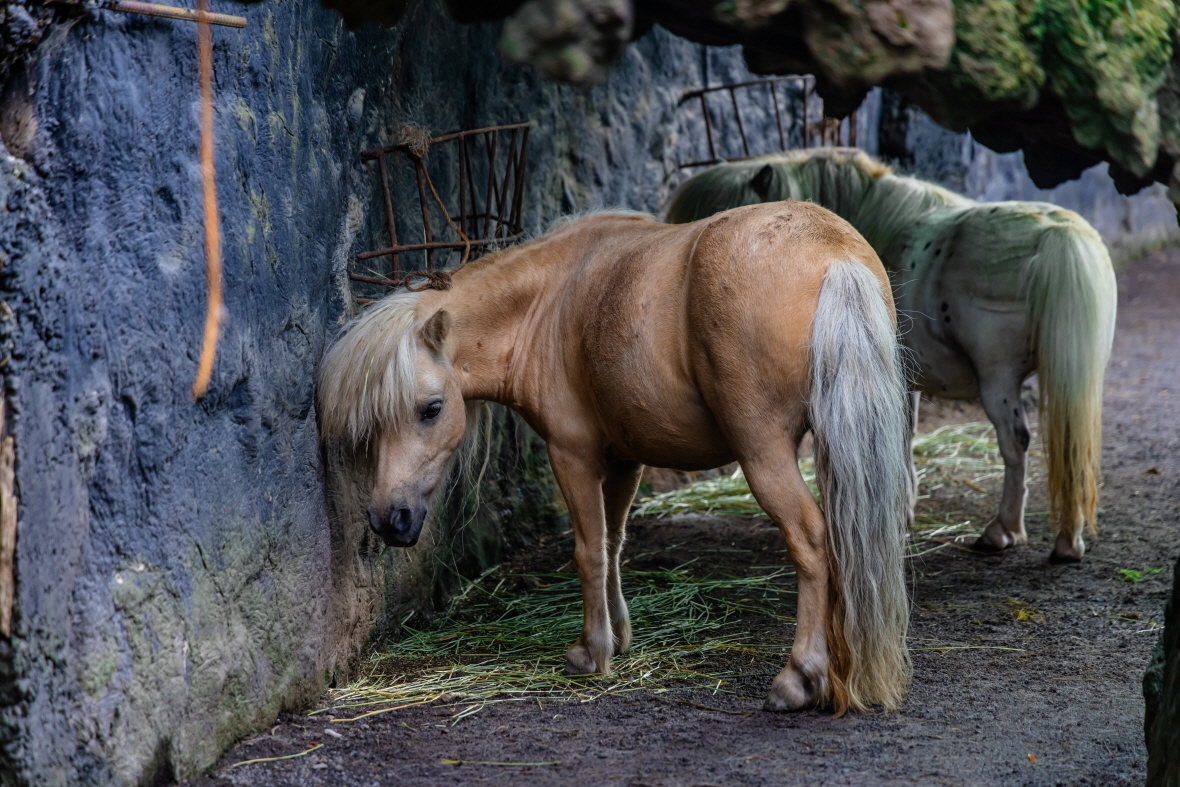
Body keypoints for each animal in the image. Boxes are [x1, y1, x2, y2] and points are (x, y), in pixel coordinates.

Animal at [320, 206, 910, 712]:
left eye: (431, 409)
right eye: (372, 423)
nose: (388, 519)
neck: (549, 300)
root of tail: (833, 254)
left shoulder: (572, 455)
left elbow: (588, 551)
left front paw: (591, 651)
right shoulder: (626, 460)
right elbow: (613, 542)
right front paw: (620, 635)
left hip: (763, 452)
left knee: (810, 540)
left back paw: (799, 677)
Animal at [670, 149, 1118, 566]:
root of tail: (1059, 237)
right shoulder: (905, 377)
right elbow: (905, 434)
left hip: (998, 379)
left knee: (1016, 442)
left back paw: (1005, 531)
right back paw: (1068, 538)